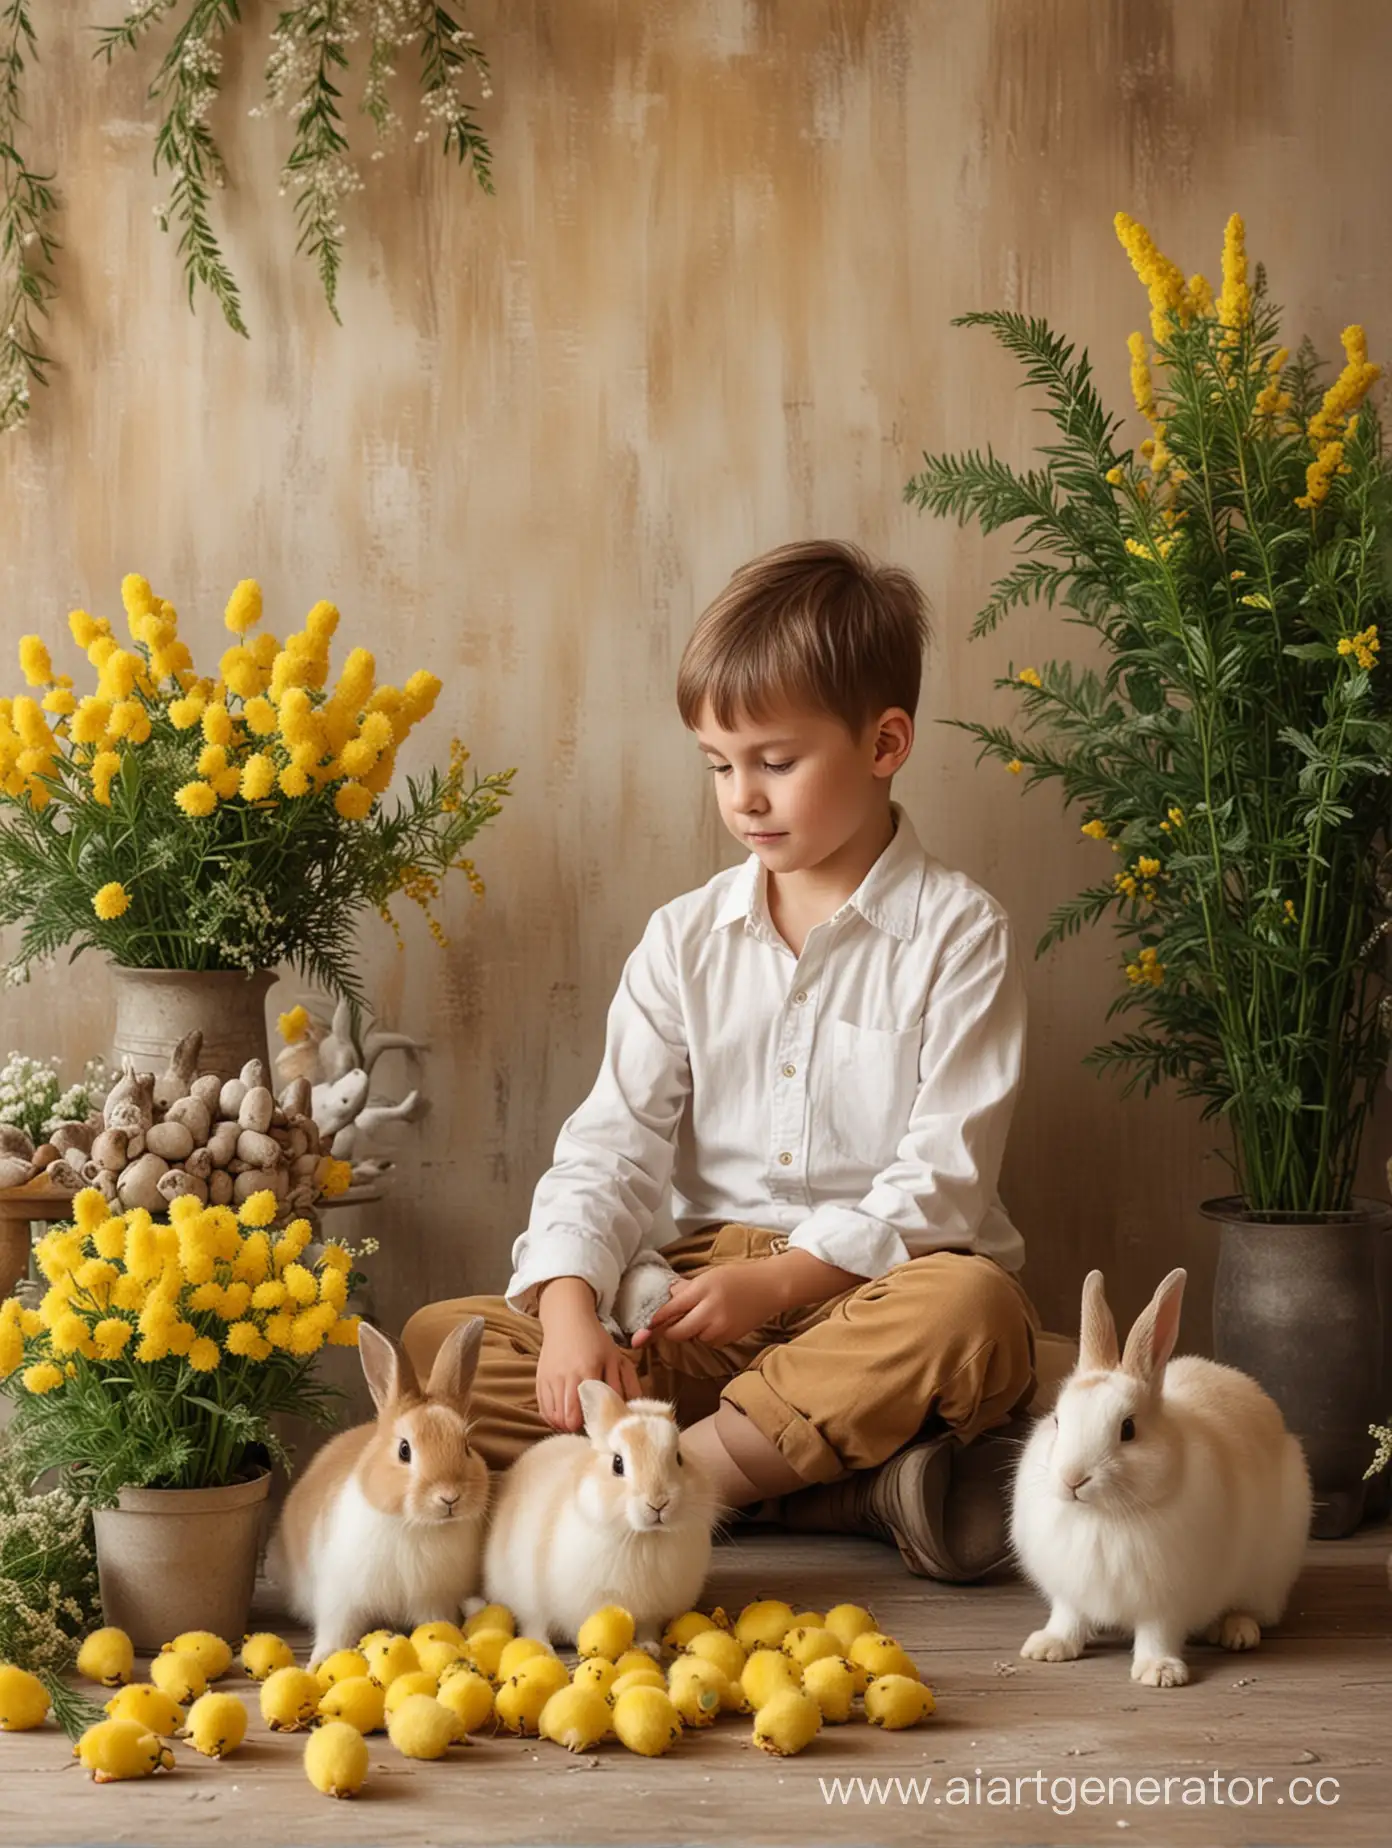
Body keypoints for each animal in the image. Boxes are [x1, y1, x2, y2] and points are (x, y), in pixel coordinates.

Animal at [268, 1315, 491, 1663]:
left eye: (466, 1447)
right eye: (404, 1450)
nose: (449, 1497)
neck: (415, 1526)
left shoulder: (433, 1600)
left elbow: (432, 1623)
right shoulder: (340, 1598)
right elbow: (335, 1631)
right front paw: (319, 1661)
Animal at [480, 1382, 717, 1655]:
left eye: (679, 1458)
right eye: (617, 1464)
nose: (658, 1503)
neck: (644, 1537)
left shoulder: (651, 1611)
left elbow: (646, 1628)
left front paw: (649, 1648)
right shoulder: (598, 1599)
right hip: (524, 1593)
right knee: (534, 1624)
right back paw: (544, 1647)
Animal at [1005, 1271, 1308, 1692]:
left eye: (1128, 1429)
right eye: (1057, 1421)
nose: (1072, 1479)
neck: (1102, 1517)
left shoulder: (1167, 1599)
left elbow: (1157, 1632)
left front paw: (1160, 1672)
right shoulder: (1071, 1590)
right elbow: (1069, 1618)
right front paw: (1049, 1647)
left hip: (1268, 1575)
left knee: (1250, 1608)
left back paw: (1236, 1632)